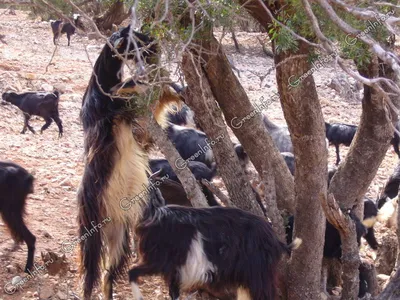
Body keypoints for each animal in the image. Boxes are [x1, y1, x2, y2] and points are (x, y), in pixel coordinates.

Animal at [77, 25, 180, 300]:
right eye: (137, 39)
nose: (156, 44)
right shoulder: (107, 107)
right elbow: (131, 88)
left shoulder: (139, 130)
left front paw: (170, 86)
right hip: (92, 230)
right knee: (90, 274)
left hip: (119, 235)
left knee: (107, 276)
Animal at [130, 183, 302, 300]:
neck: (155, 216)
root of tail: (276, 240)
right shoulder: (175, 271)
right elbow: (174, 293)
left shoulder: (161, 263)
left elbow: (132, 272)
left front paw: (139, 297)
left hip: (258, 274)